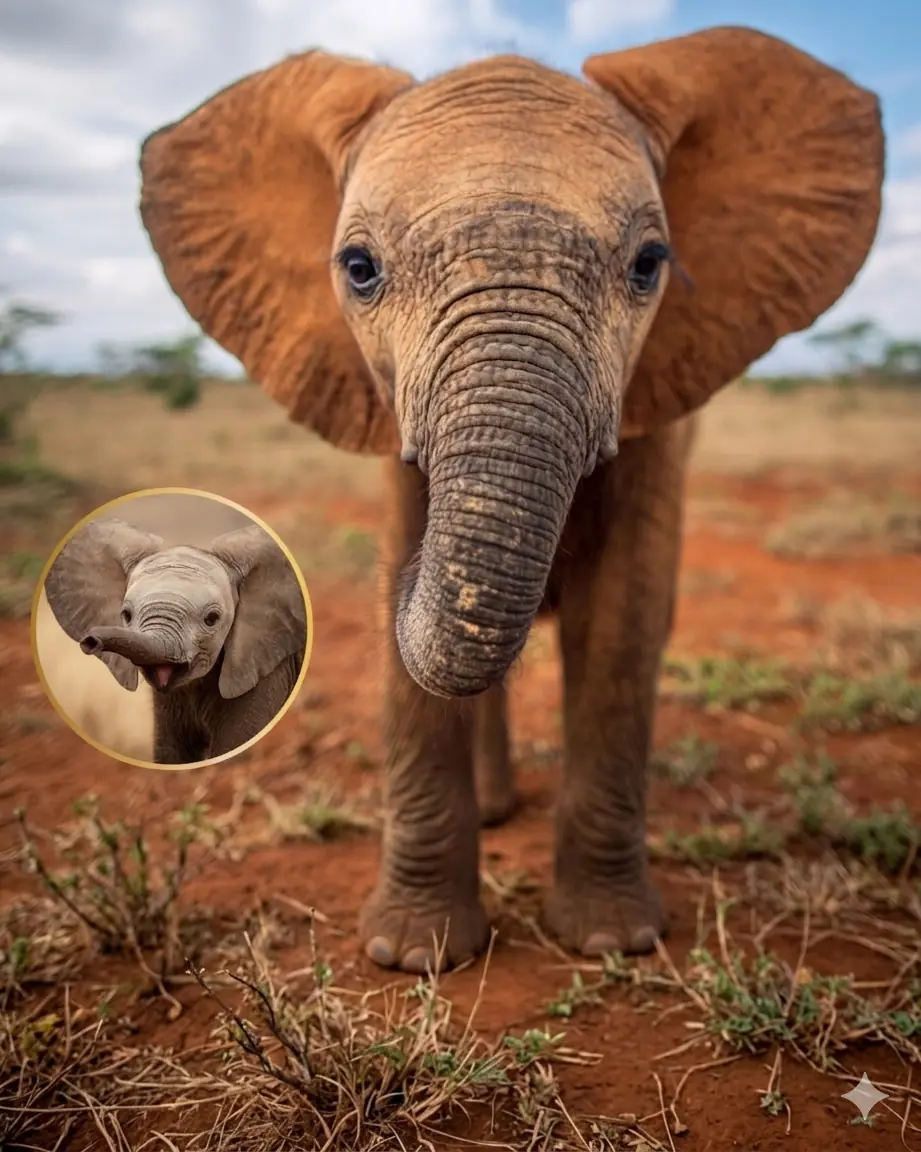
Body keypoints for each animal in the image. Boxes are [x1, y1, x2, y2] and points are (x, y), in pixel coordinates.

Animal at [137, 26, 884, 967]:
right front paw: (415, 955)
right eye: (358, 269)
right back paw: (495, 811)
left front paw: (610, 940)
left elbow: (624, 610)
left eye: (650, 265)